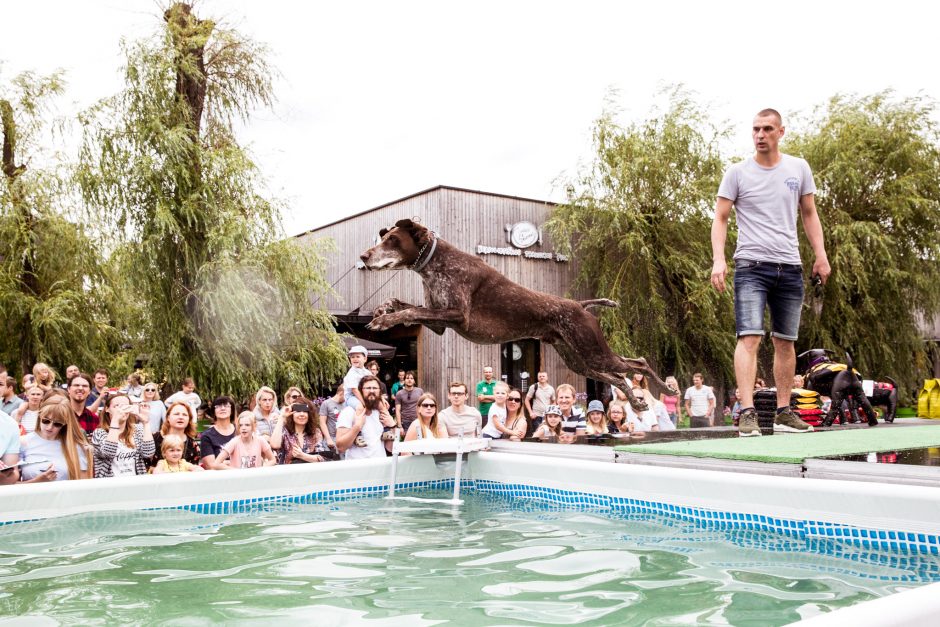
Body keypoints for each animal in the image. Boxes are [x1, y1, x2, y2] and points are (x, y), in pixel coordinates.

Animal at [356, 221, 672, 412]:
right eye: (384, 238)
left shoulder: (456, 315)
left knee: (638, 363)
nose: (363, 256)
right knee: (618, 377)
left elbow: (410, 309)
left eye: (392, 239)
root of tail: (581, 305)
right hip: (579, 360)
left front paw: (383, 320)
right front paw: (382, 310)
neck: (436, 263)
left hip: (593, 352)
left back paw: (664, 387)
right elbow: (401, 303)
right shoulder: (438, 323)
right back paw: (637, 402)